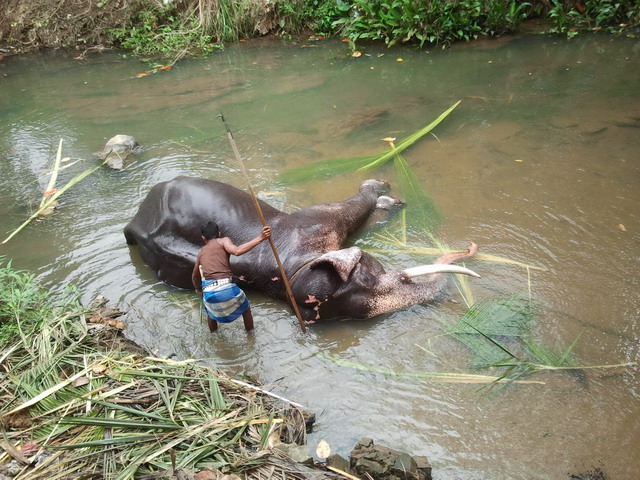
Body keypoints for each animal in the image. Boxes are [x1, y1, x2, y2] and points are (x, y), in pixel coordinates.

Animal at [124, 176, 480, 322]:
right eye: (367, 280)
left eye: (366, 271)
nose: (471, 248)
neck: (290, 271)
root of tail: (134, 221)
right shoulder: (311, 224)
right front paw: (384, 196)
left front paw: (384, 195)